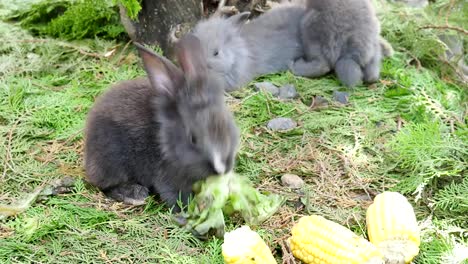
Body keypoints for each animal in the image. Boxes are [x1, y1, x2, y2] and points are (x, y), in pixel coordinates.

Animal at [82, 34, 239, 211]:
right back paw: (135, 194)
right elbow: (175, 195)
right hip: (112, 160)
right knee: (105, 185)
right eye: (193, 139)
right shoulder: (167, 176)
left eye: (229, 128)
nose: (222, 168)